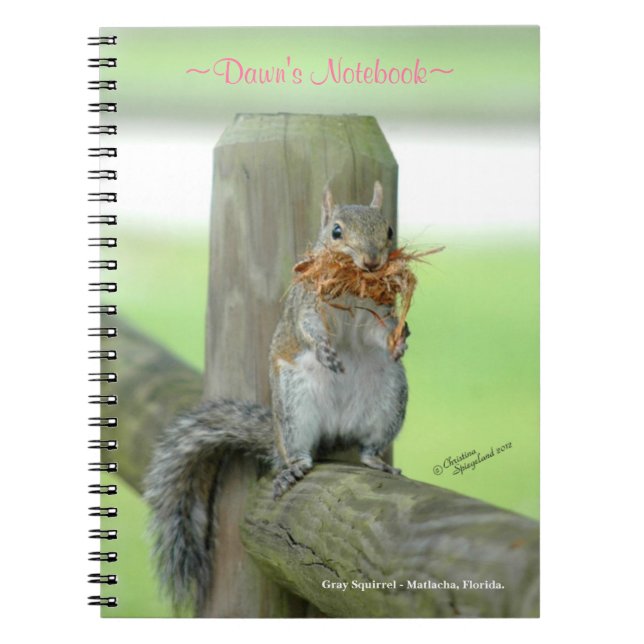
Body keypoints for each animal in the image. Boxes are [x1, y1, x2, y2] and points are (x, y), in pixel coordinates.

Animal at [144, 181, 409, 612]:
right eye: (336, 231)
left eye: (388, 230)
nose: (371, 261)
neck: (353, 291)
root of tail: (334, 431)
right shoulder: (306, 302)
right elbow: (308, 328)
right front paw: (324, 351)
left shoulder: (378, 312)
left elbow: (379, 333)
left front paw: (400, 340)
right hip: (294, 406)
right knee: (297, 451)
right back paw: (294, 467)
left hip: (389, 398)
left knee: (369, 444)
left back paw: (375, 461)